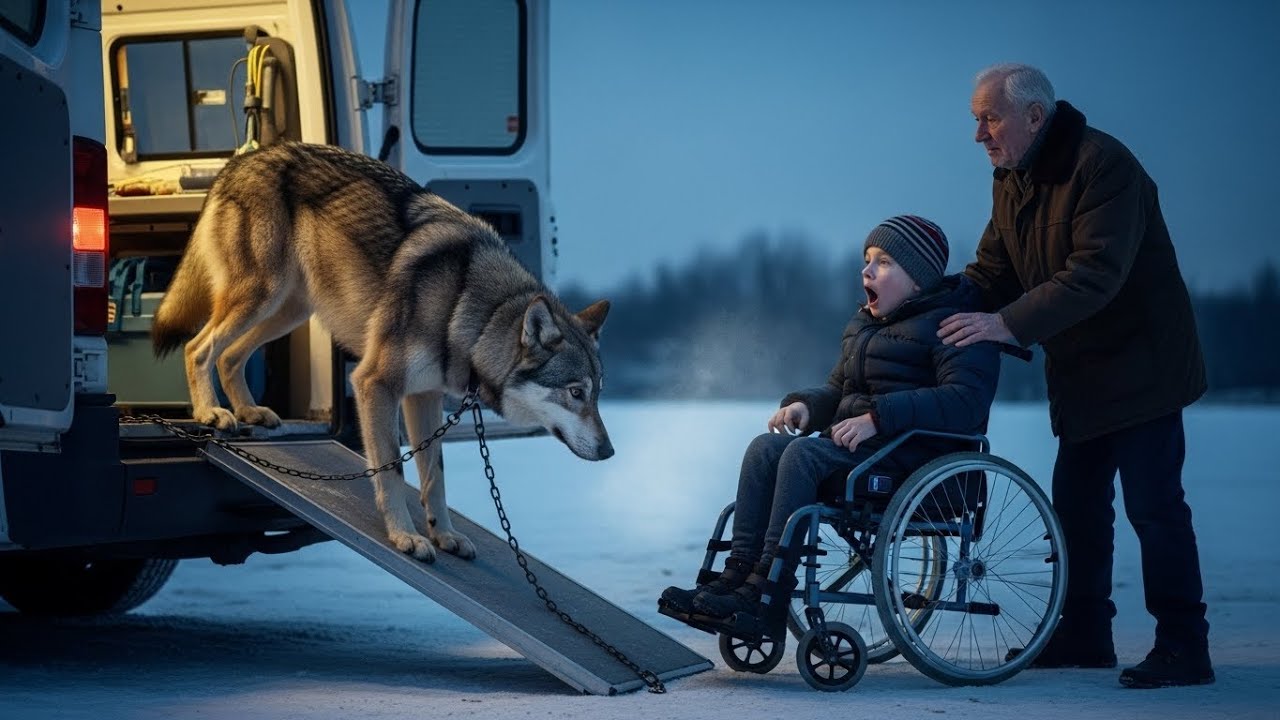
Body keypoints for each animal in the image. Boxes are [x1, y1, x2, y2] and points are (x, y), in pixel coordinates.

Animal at [152, 142, 613, 563]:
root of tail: (243, 158)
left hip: (288, 310)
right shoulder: (374, 384)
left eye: (597, 394)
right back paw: (211, 412)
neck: (468, 306)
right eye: (575, 393)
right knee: (198, 347)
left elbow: (435, 476)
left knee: (230, 356)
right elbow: (392, 468)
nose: (609, 451)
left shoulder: (423, 396)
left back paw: (249, 411)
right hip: (260, 297)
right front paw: (406, 537)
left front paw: (444, 535)